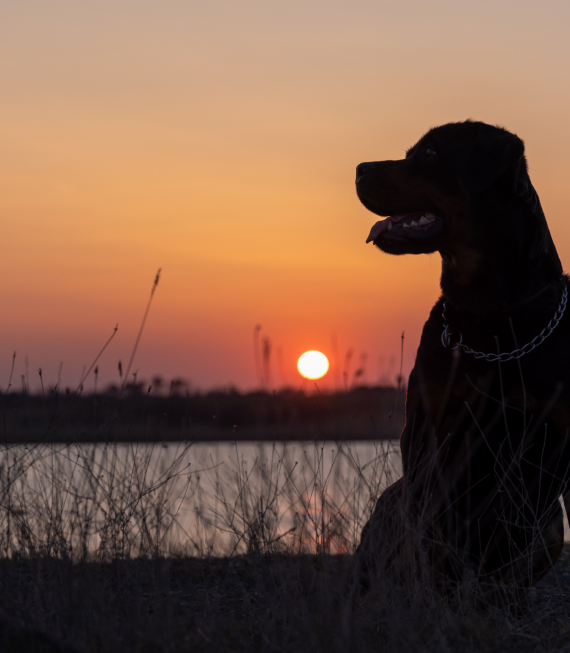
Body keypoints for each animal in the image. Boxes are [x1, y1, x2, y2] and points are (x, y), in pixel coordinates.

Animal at [350, 119, 568, 600]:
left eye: (431, 153)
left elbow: (510, 544)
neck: (487, 317)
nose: (359, 168)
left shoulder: (545, 439)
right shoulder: (427, 429)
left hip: (555, 528)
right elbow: (433, 537)